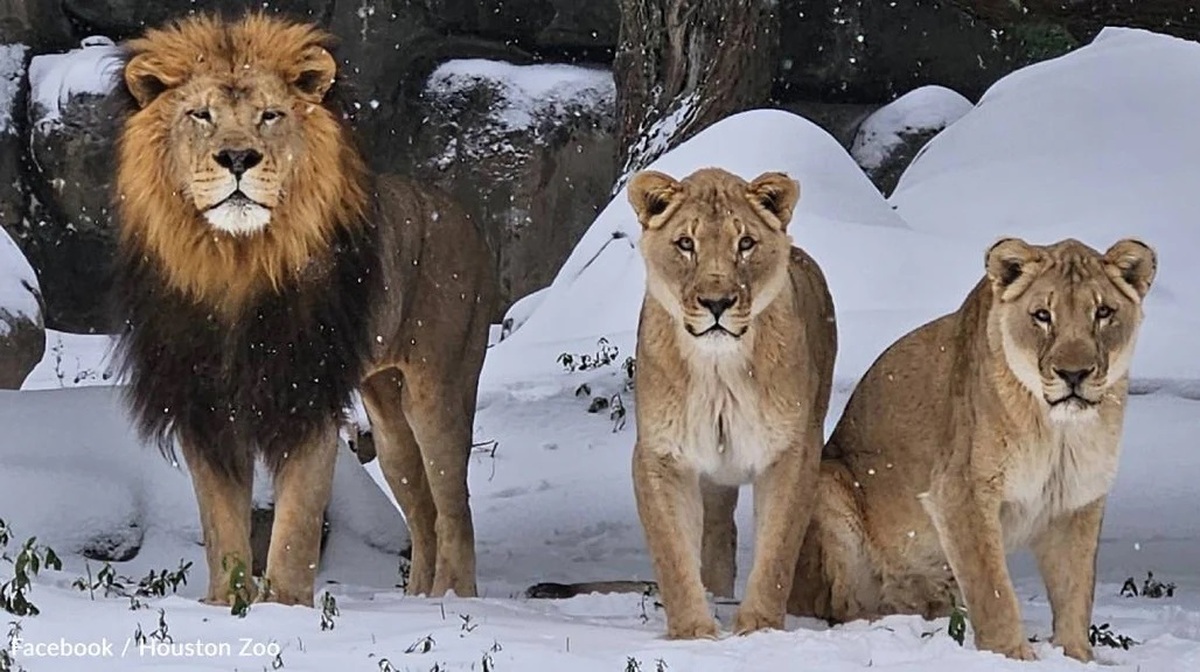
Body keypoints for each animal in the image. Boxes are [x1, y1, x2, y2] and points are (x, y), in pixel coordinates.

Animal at [108, 13, 492, 607]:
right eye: (201, 115)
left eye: (270, 115)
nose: (237, 158)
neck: (236, 263)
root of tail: (461, 212)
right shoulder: (206, 404)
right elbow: (221, 527)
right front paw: (224, 606)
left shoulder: (305, 392)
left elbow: (296, 526)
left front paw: (285, 608)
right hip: (387, 411)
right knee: (423, 509)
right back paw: (416, 602)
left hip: (440, 388)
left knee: (455, 511)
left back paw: (454, 602)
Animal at [628, 166, 835, 633]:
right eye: (686, 243)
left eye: (745, 243)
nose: (717, 303)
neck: (718, 370)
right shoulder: (660, 456)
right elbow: (673, 551)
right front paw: (694, 632)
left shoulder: (793, 451)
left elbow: (776, 548)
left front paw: (759, 627)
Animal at [792, 236, 1156, 662]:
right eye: (1042, 315)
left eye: (1103, 312)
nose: (1074, 374)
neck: (1058, 431)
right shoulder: (960, 491)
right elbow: (993, 588)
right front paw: (1013, 655)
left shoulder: (1077, 499)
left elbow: (1076, 589)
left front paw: (1077, 656)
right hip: (826, 480)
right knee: (839, 606)